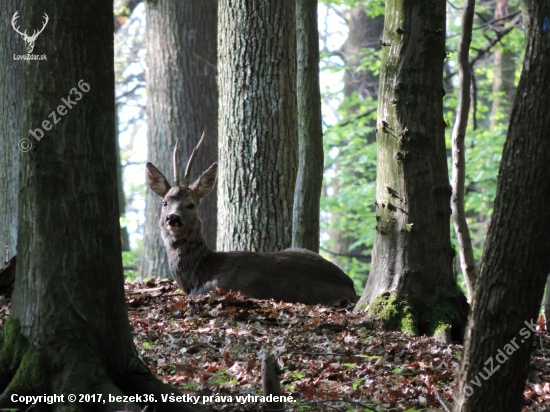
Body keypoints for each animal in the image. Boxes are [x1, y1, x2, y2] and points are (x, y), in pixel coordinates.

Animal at [147, 135, 358, 306]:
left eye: (191, 205)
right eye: (165, 202)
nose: (173, 218)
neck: (200, 272)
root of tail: (350, 285)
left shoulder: (225, 285)